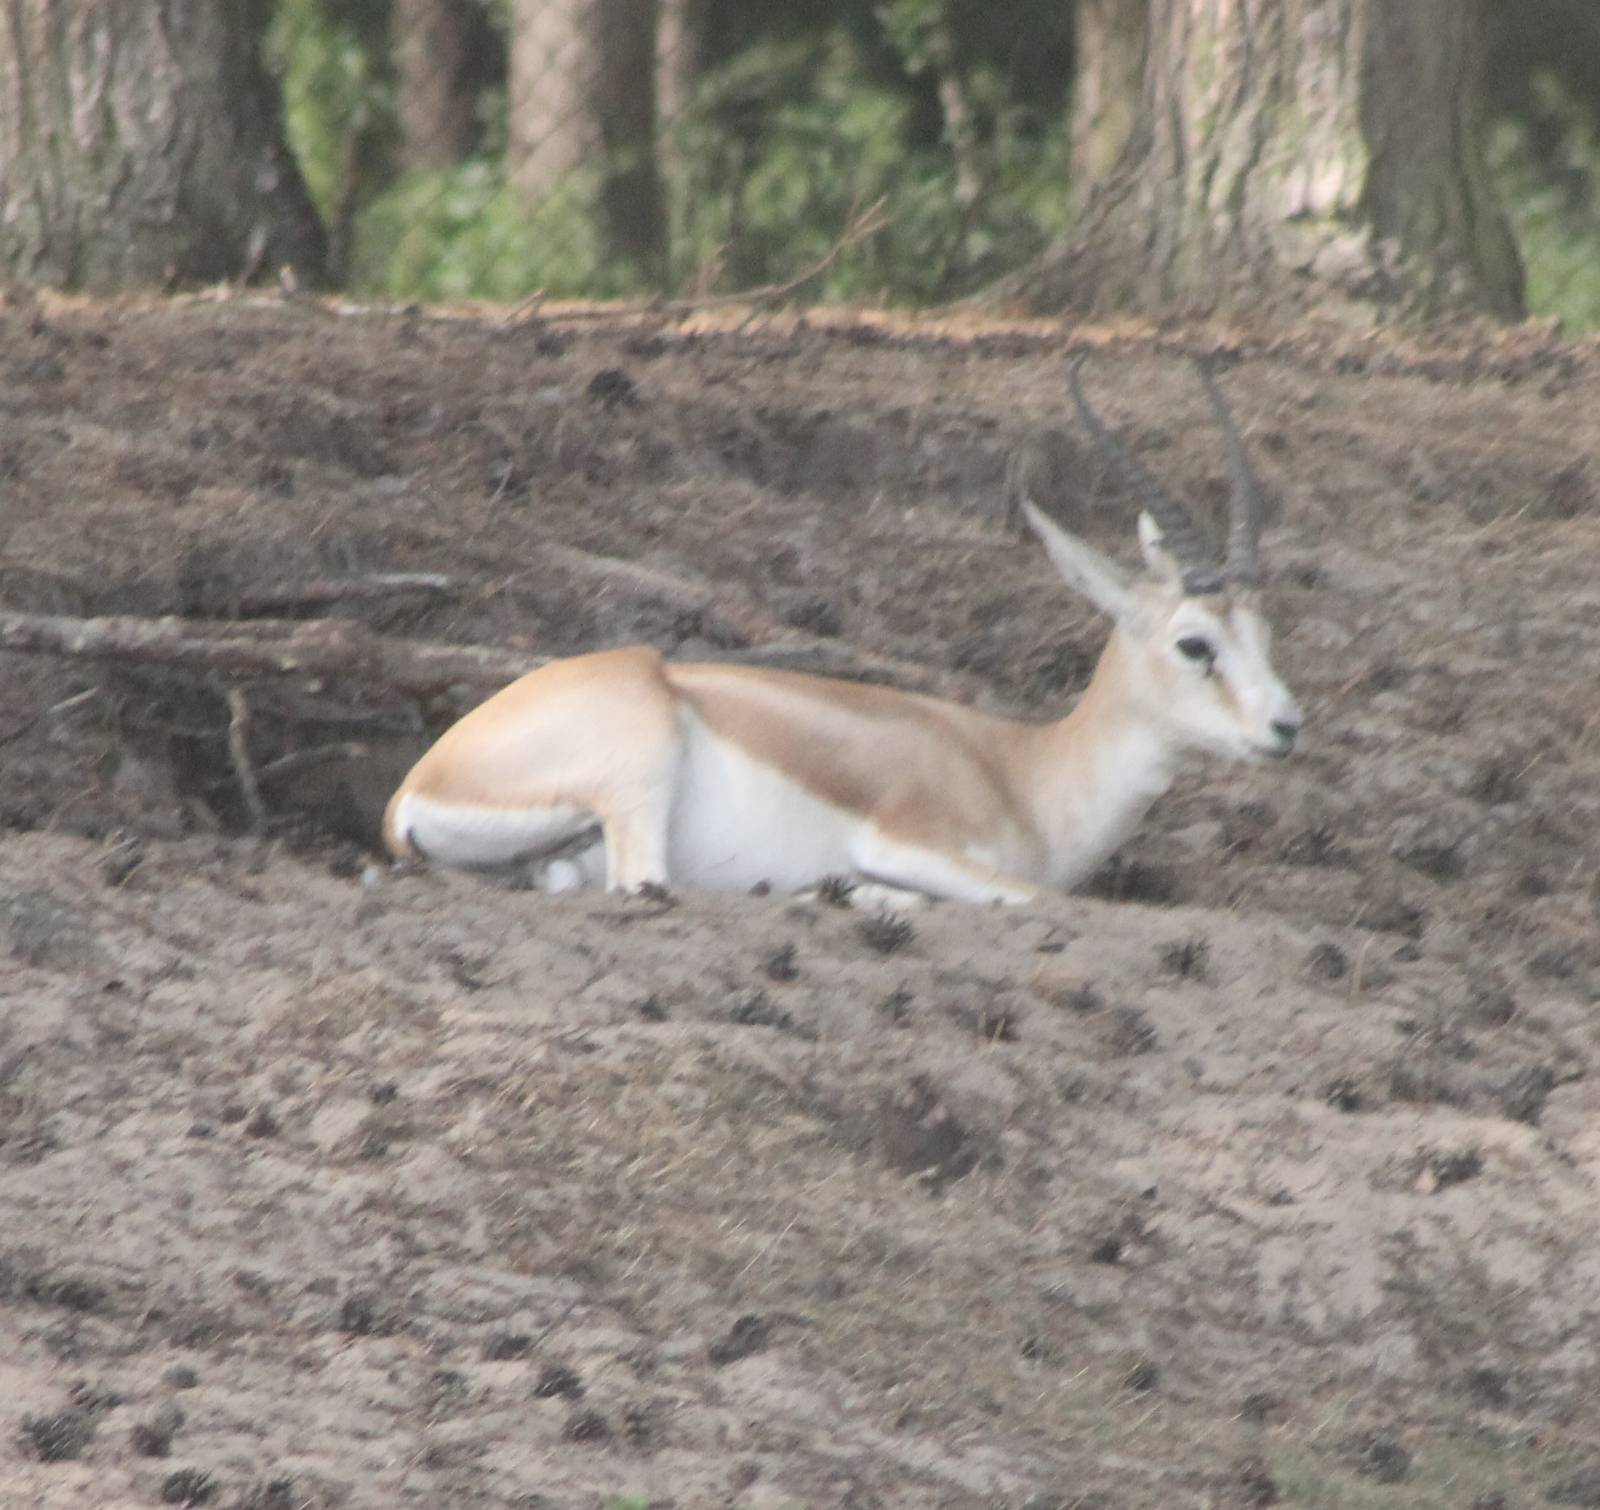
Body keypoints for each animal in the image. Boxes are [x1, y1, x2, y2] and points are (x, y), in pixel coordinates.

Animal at [384, 362, 1301, 906]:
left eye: (1264, 629)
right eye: (1195, 643)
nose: (1286, 727)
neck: (1025, 774)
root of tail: (414, 787)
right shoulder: (912, 842)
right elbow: (1040, 897)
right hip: (642, 766)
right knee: (646, 882)